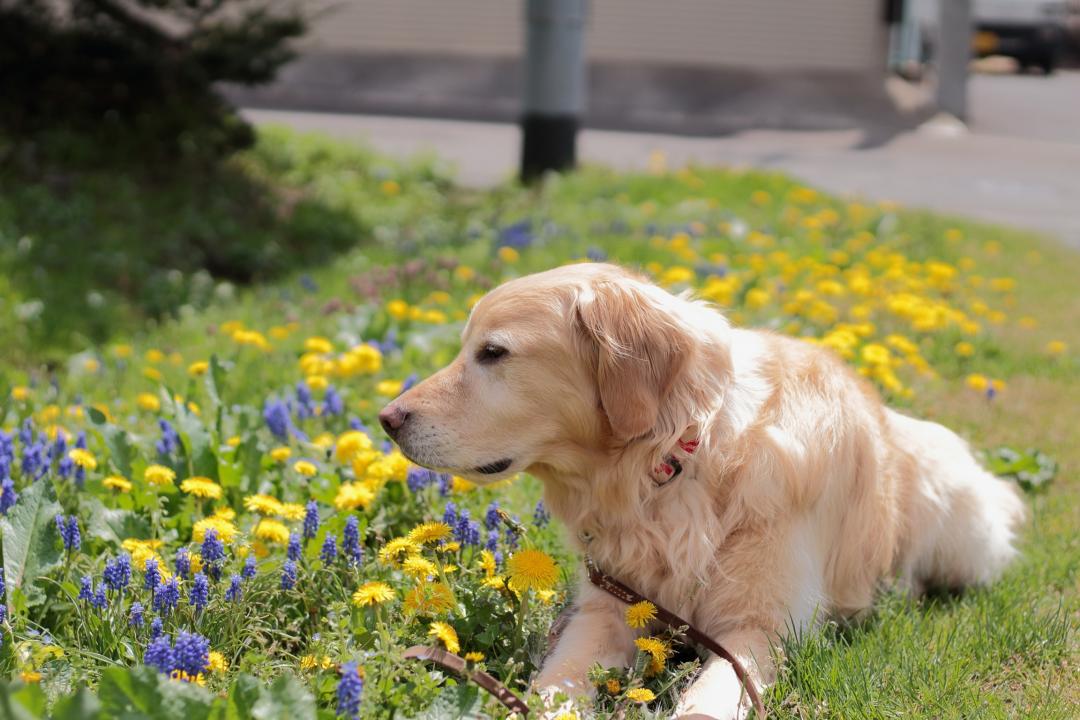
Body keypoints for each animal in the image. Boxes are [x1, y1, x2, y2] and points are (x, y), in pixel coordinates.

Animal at [380, 262, 1028, 716]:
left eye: (493, 353)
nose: (387, 419)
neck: (677, 460)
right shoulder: (608, 604)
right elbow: (553, 686)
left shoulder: (759, 627)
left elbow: (708, 702)